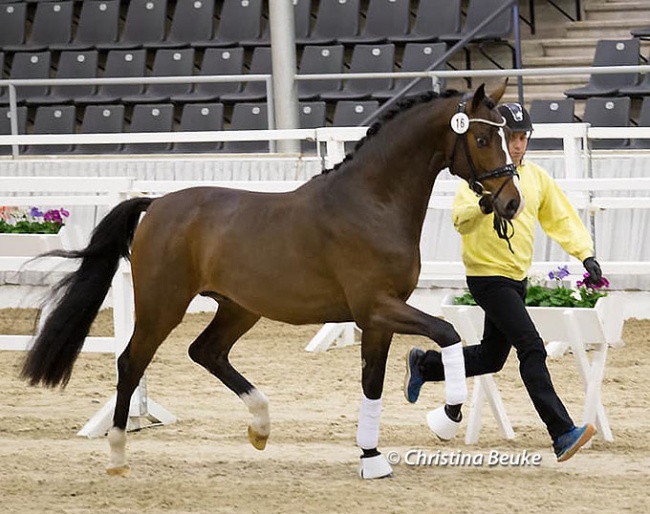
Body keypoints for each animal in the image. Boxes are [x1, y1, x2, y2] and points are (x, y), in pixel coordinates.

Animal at [20, 82, 520, 478]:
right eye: (481, 137)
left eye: (505, 135)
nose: (512, 202)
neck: (372, 203)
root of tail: (156, 204)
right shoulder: (377, 307)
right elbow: (447, 332)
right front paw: (447, 416)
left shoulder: (378, 319)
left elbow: (372, 384)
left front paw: (372, 458)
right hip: (163, 305)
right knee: (131, 363)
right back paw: (118, 454)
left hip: (239, 308)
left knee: (206, 351)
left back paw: (260, 426)